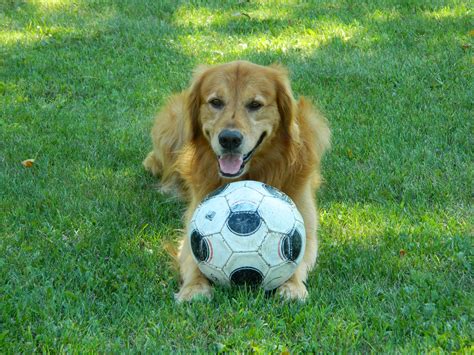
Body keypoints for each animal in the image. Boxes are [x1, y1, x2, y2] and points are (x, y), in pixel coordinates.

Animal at [143, 59, 332, 302]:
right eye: (216, 102)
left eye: (255, 104)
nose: (229, 139)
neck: (252, 174)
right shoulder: (192, 225)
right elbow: (193, 257)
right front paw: (194, 287)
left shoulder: (305, 221)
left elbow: (299, 256)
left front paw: (292, 286)